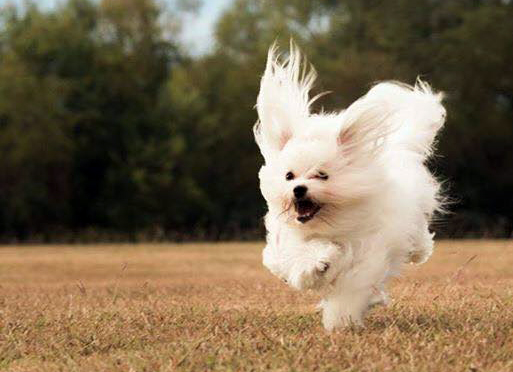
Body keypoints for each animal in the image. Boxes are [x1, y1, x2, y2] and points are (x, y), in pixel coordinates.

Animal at [254, 43, 446, 332]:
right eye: (289, 176)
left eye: (322, 175)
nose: (299, 189)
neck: (330, 226)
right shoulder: (284, 246)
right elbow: (300, 258)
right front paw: (319, 262)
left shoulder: (365, 259)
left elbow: (349, 293)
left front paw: (341, 323)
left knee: (418, 239)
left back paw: (419, 252)